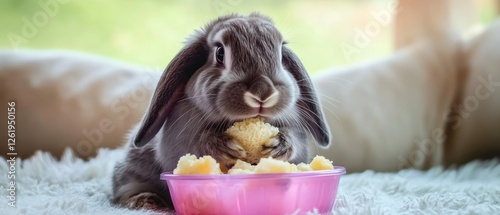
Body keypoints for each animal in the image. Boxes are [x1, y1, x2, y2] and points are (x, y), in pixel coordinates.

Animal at [113, 12, 332, 211]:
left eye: (280, 54)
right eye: (219, 53)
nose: (263, 92)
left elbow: (294, 141)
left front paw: (278, 145)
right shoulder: (178, 141)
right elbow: (193, 144)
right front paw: (224, 146)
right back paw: (146, 201)